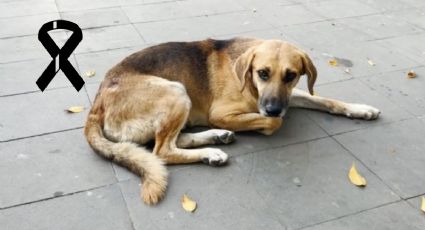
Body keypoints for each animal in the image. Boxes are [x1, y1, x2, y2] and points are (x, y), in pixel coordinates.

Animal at [84, 37, 380, 205]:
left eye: (291, 75)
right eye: (263, 73)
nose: (273, 108)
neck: (248, 82)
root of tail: (96, 105)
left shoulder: (289, 96)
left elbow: (326, 100)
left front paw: (360, 109)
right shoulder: (223, 113)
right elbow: (274, 123)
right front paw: (268, 122)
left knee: (173, 141)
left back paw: (214, 141)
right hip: (176, 91)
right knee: (162, 151)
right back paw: (212, 150)